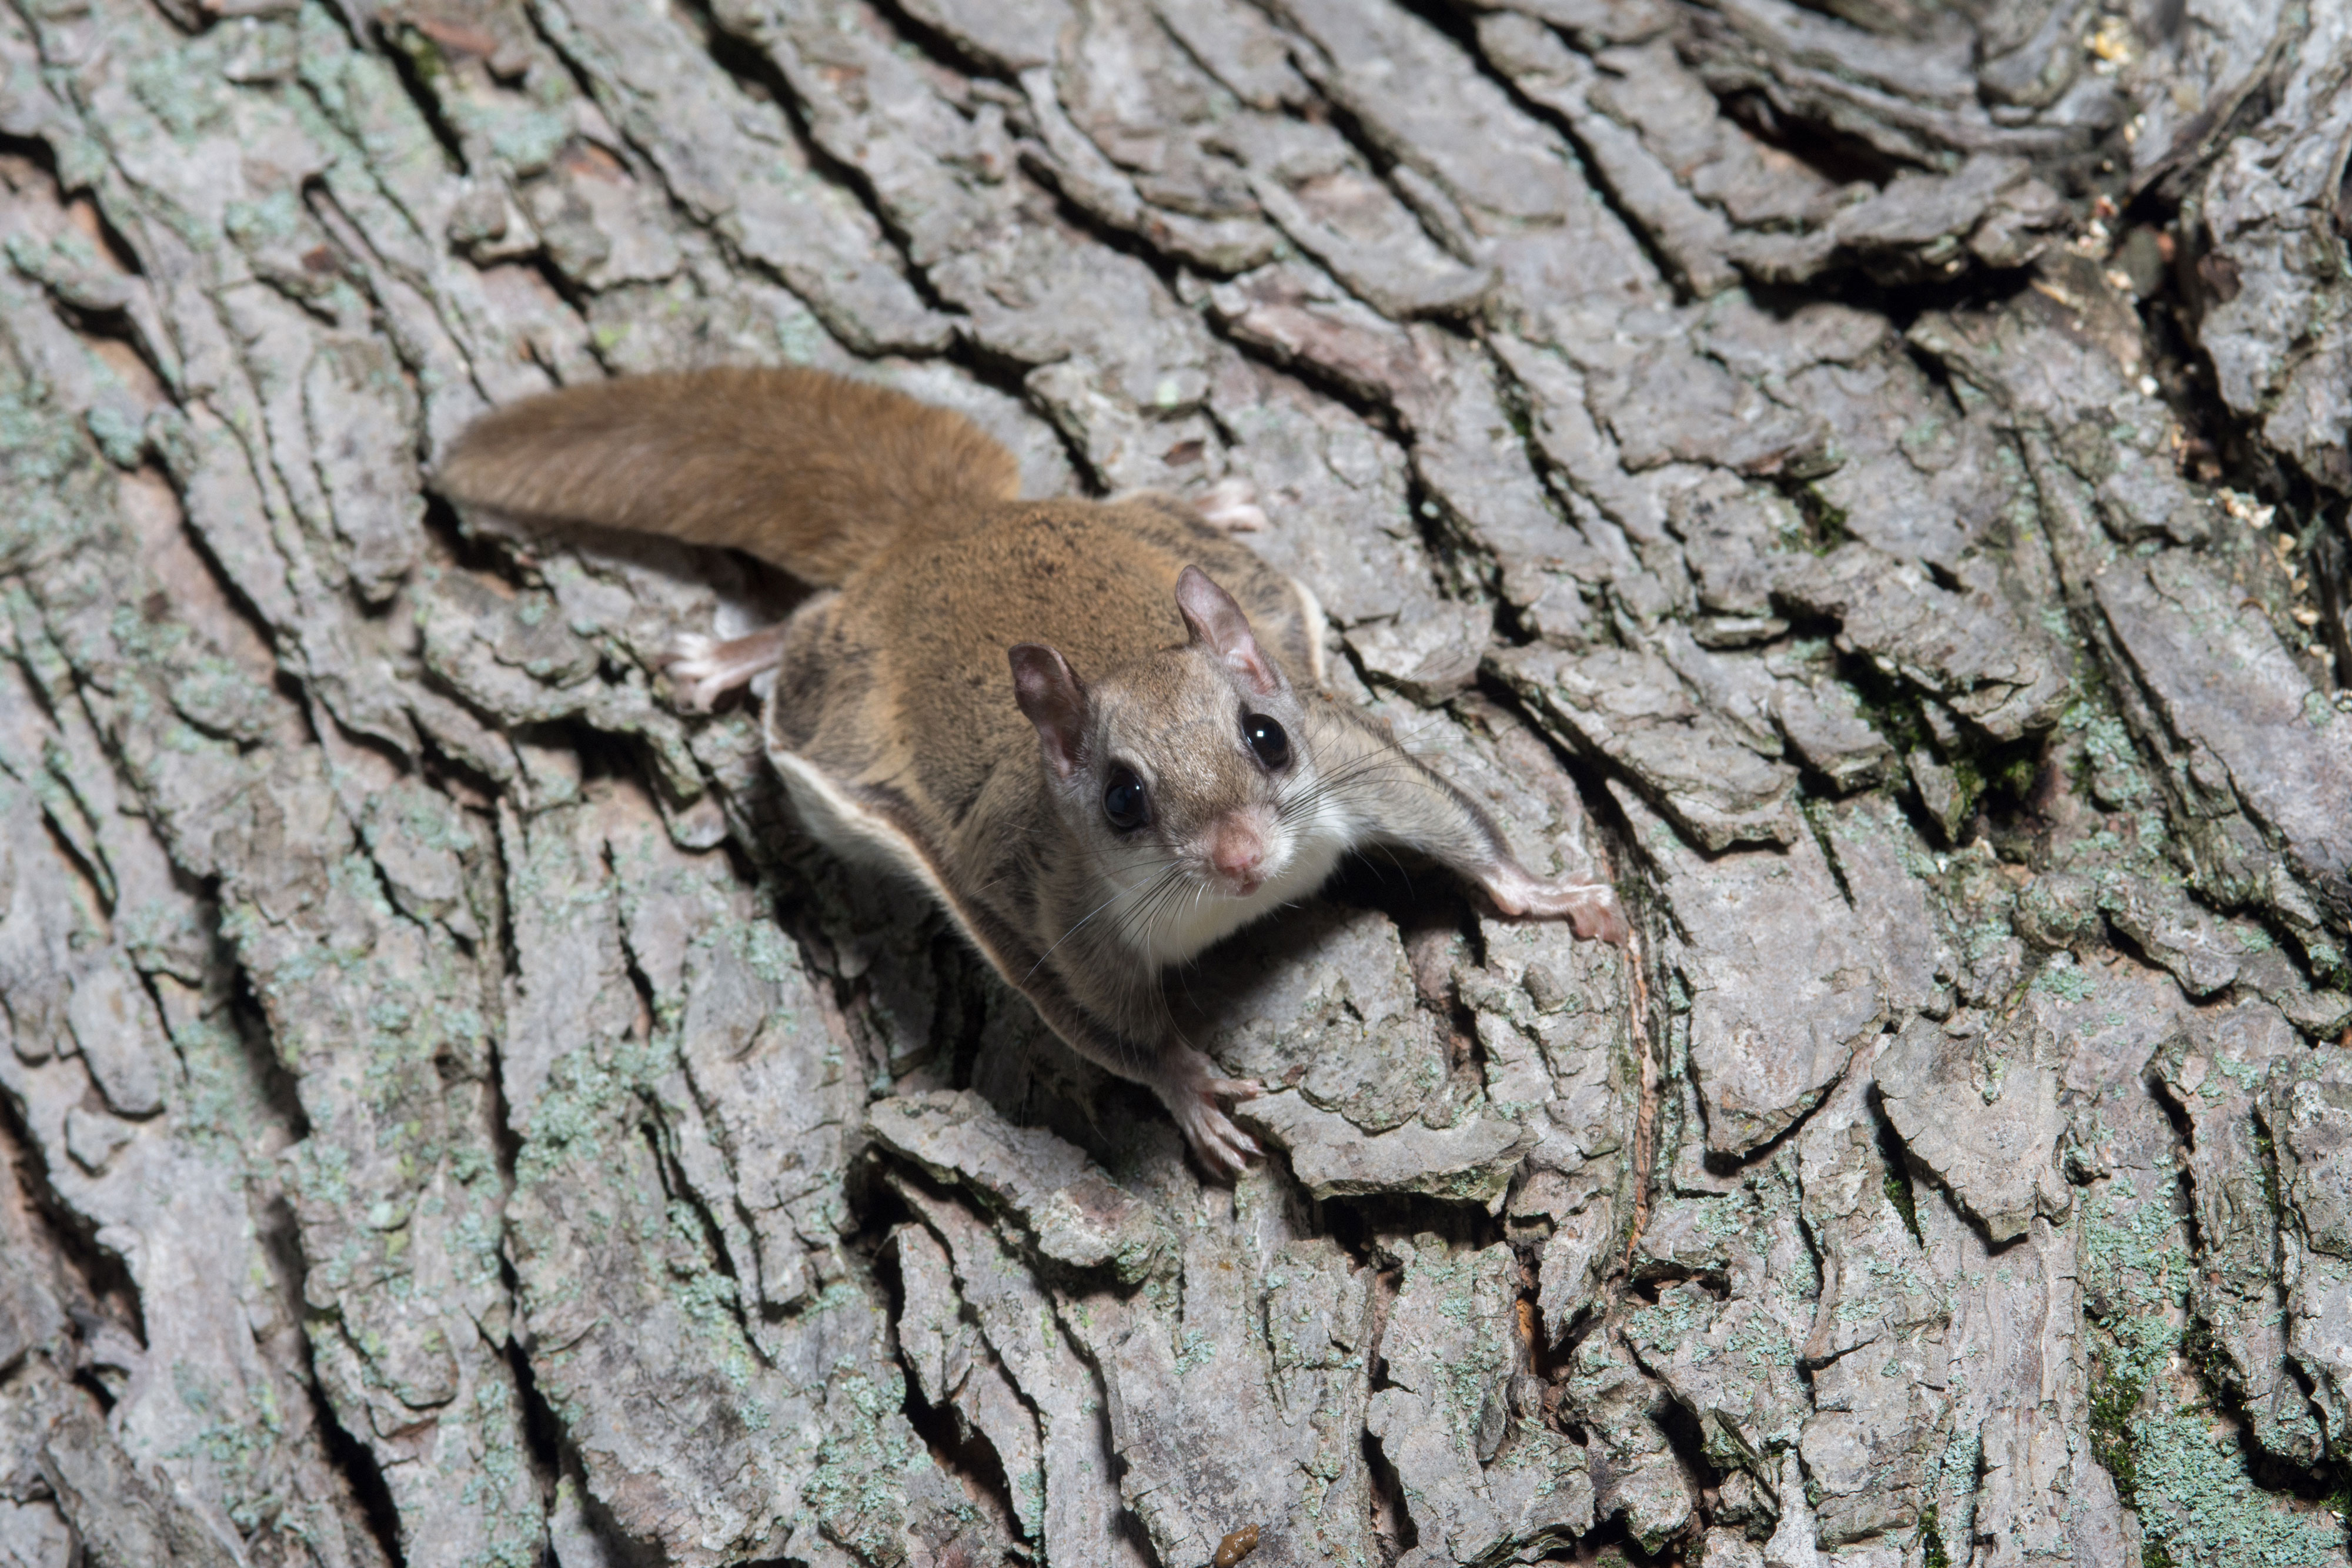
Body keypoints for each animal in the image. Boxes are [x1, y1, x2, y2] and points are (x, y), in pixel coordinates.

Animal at [437, 366, 1627, 1174]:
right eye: (1121, 799)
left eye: (1267, 737)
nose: (1245, 858)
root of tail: (940, 531)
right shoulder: (1049, 910)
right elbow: (1103, 1023)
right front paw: (1192, 1086)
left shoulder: (1352, 759)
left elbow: (1454, 817)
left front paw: (1546, 892)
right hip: (839, 688)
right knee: (804, 634)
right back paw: (731, 658)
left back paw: (1209, 501)